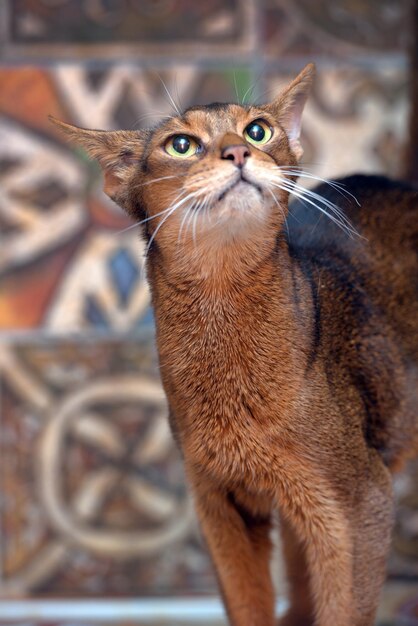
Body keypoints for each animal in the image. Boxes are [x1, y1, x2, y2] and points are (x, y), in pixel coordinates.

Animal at [51, 62, 418, 624]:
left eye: (258, 130)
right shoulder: (219, 503)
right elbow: (247, 603)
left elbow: (344, 610)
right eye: (181, 145)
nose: (238, 152)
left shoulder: (360, 501)